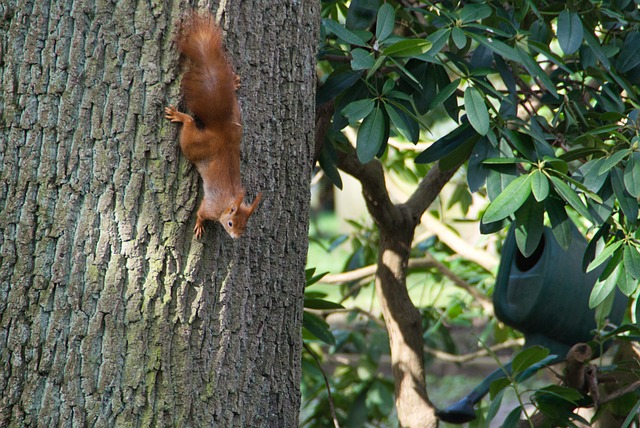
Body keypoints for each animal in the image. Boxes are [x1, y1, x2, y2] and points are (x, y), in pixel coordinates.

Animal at [165, 13, 260, 239]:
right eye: (231, 223)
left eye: (246, 225)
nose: (236, 237)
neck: (228, 203)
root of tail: (221, 130)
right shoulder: (211, 206)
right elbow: (201, 213)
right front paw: (199, 225)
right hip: (194, 145)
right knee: (190, 124)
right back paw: (180, 116)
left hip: (235, 117)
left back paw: (233, 83)